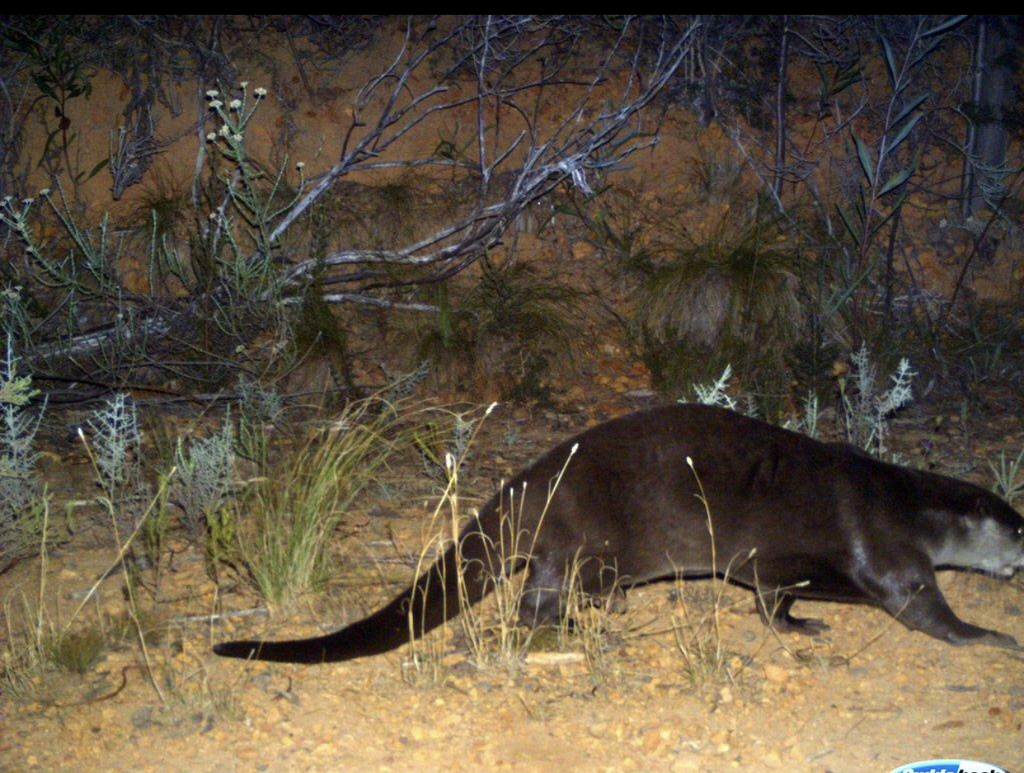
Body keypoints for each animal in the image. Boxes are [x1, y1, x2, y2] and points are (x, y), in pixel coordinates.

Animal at [211, 401, 1019, 663]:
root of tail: (526, 482)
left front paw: (798, 624)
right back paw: (576, 626)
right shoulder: (887, 547)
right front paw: (997, 638)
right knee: (532, 604)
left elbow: (771, 598)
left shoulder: (777, 563)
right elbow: (921, 607)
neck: (906, 503)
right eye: (1018, 528)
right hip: (583, 536)